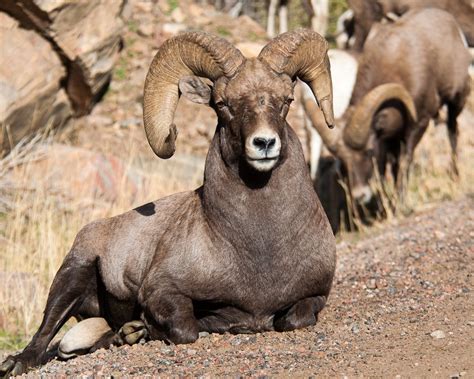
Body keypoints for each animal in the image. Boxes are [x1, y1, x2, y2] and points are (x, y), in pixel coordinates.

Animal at [1, 30, 338, 378]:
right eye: (222, 104)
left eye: (287, 100)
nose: (264, 143)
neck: (260, 249)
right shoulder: (162, 291)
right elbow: (185, 328)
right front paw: (148, 327)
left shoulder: (315, 295)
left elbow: (296, 318)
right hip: (72, 275)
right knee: (43, 337)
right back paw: (19, 361)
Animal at [304, 8, 470, 229]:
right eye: (344, 160)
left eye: (368, 151)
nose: (360, 196)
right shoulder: (388, 140)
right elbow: (386, 169)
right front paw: (384, 210)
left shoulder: (416, 126)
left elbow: (404, 164)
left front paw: (399, 206)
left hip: (455, 102)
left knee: (453, 133)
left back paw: (455, 177)